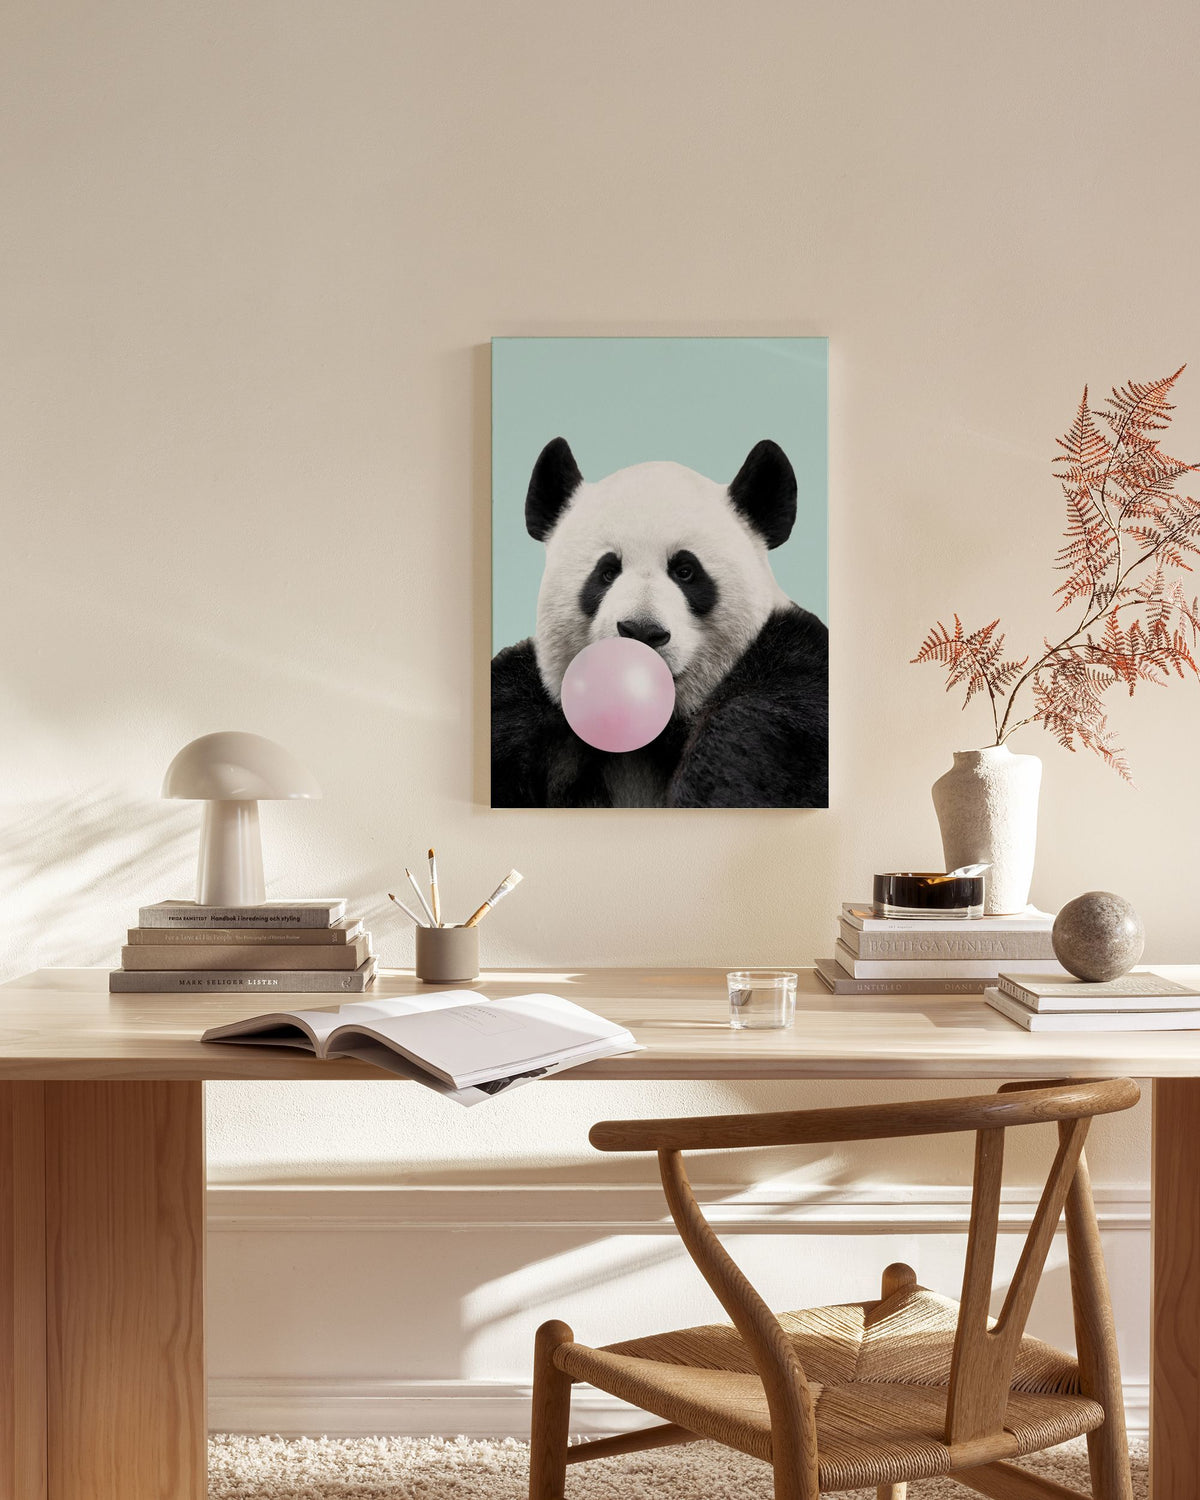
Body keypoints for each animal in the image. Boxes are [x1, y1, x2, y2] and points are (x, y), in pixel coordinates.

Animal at [491, 437, 828, 808]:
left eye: (686, 571)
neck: (651, 733)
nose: (641, 631)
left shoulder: (792, 673)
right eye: (607, 572)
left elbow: (756, 743)